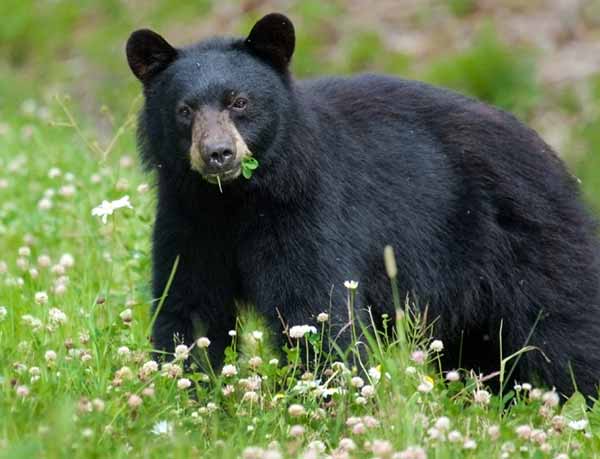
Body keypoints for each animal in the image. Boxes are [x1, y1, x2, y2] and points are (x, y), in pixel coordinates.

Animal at [126, 12, 600, 398]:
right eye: (185, 110)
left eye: (239, 102)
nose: (218, 154)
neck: (237, 200)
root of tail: (558, 165)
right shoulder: (188, 217)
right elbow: (188, 305)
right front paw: (181, 394)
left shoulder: (308, 210)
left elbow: (316, 309)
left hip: (530, 246)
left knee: (565, 332)